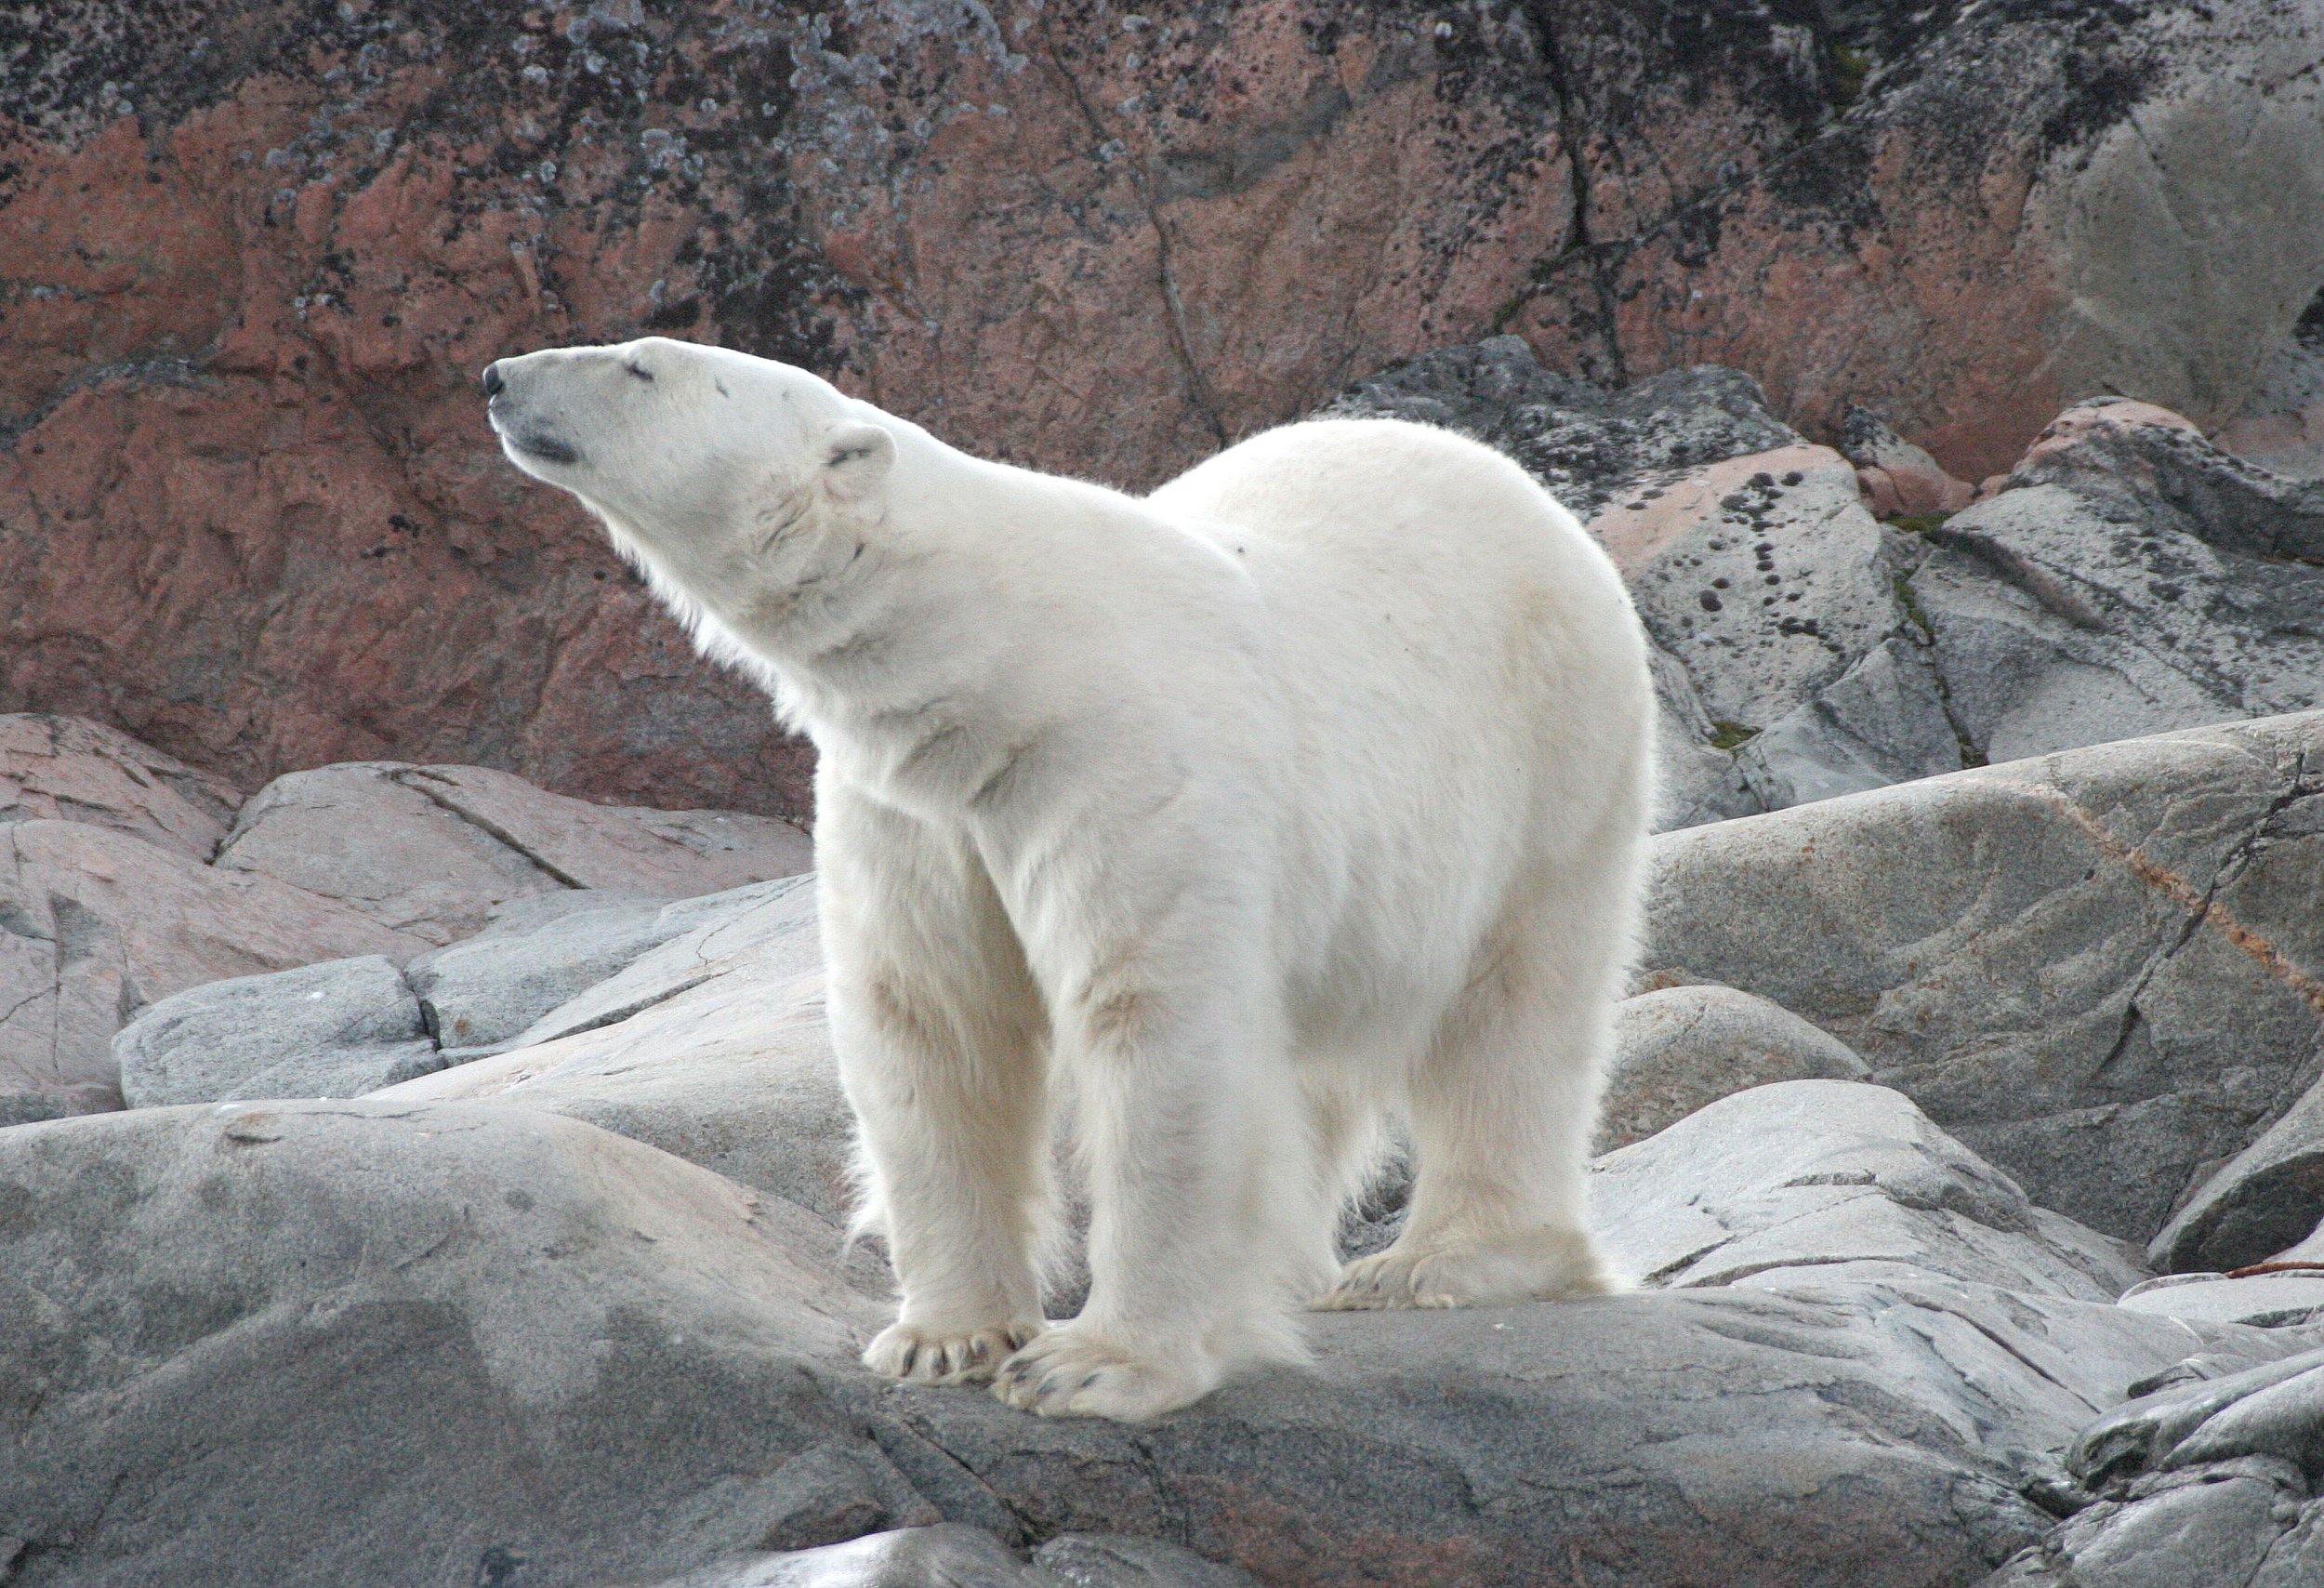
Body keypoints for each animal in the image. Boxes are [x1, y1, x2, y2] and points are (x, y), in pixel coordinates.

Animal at [483, 336, 1657, 1421]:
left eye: (642, 366)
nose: (497, 376)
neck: (990, 653)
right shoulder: (916, 811)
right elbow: (931, 1023)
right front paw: (942, 1339)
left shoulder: (1121, 762)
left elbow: (1155, 1024)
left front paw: (1094, 1363)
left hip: (1553, 747)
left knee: (1516, 1006)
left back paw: (1440, 1260)